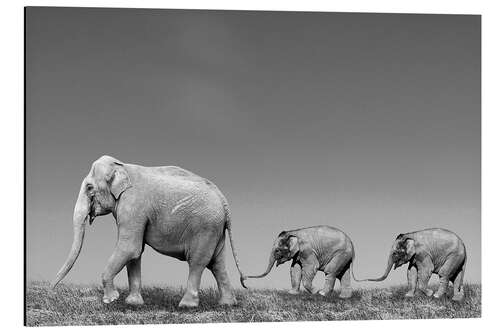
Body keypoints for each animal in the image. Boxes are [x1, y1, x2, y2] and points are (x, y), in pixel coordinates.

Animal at [51, 155, 247, 306]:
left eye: (89, 187)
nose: (51, 291)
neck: (122, 166)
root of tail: (224, 201)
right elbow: (135, 253)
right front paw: (133, 303)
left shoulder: (133, 206)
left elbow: (129, 248)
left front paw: (111, 300)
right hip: (215, 229)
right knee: (217, 263)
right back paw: (227, 304)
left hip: (205, 228)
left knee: (198, 262)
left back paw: (186, 305)